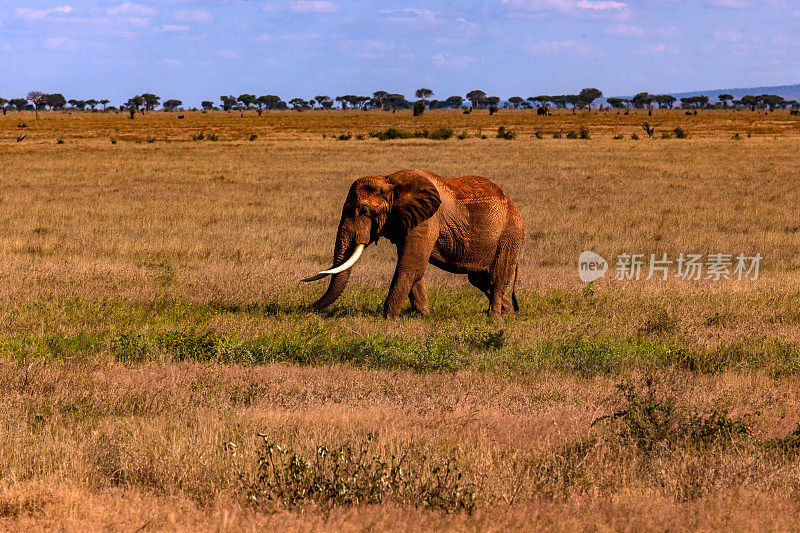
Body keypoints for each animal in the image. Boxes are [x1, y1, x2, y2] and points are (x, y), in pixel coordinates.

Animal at [302, 168, 524, 316]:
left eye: (366, 211)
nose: (305, 309)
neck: (388, 180)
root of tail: (513, 204)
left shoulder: (428, 219)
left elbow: (410, 266)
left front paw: (388, 318)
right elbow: (414, 268)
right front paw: (423, 315)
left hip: (509, 235)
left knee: (497, 277)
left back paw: (494, 317)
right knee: (479, 279)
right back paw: (507, 311)